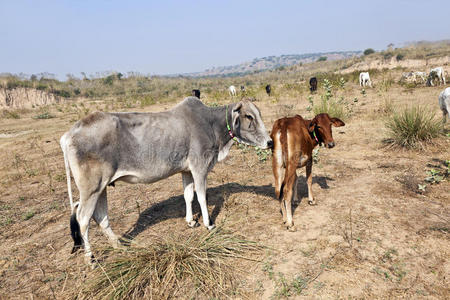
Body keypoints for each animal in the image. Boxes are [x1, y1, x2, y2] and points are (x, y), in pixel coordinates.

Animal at [61, 97, 272, 264]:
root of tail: (68, 135)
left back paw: (118, 245)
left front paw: (191, 221)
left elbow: (188, 196)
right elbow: (202, 197)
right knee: (83, 219)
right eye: (249, 116)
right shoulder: (199, 168)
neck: (211, 123)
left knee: (101, 217)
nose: (270, 142)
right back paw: (90, 258)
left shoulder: (186, 171)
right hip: (91, 189)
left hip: (101, 187)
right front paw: (208, 224)